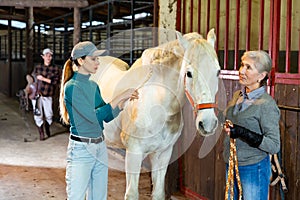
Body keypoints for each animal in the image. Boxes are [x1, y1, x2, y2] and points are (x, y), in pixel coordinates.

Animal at [90, 28, 219, 199]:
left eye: (218, 72)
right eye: (189, 73)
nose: (208, 123)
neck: (158, 104)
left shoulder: (163, 154)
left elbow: (158, 193)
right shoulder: (134, 153)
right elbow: (132, 194)